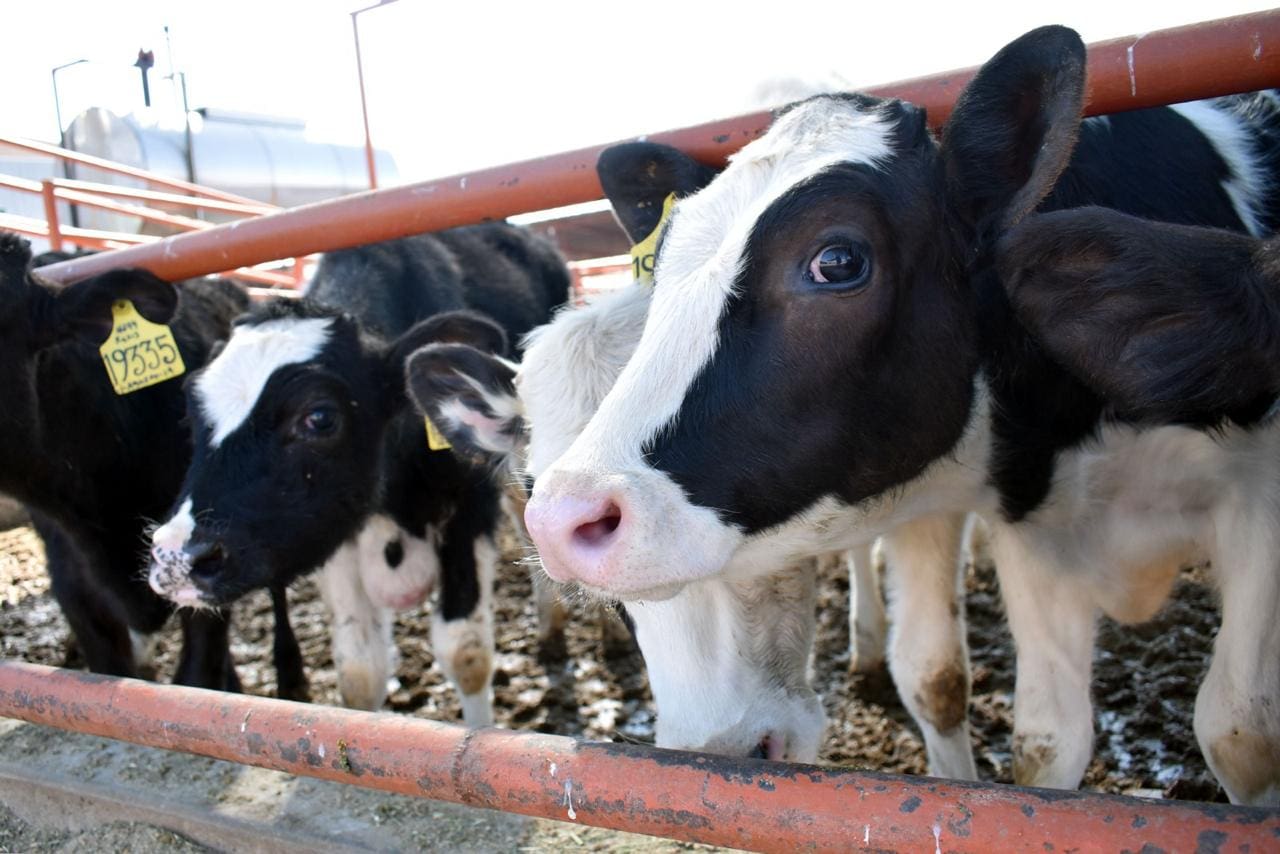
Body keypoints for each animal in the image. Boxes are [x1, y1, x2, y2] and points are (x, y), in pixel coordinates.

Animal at [147, 225, 569, 724]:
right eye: (191, 408)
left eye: (320, 417)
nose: (176, 557)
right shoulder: (334, 535)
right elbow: (360, 673)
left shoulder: (469, 513)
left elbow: (467, 655)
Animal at [520, 26, 1280, 805]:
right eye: (665, 262)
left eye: (836, 260)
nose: (563, 518)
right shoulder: (1025, 521)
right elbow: (1013, 725)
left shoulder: (1257, 496)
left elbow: (1242, 734)